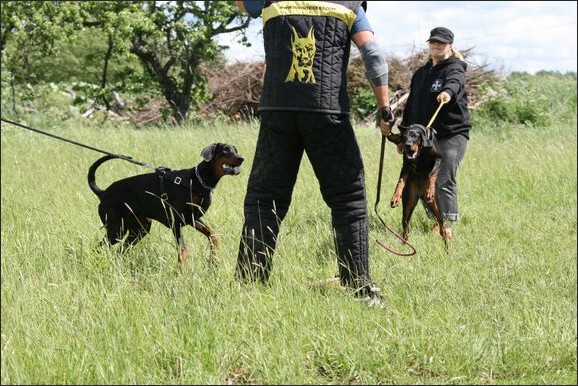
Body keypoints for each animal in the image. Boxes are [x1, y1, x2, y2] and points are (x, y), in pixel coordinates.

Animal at [87, 142, 243, 268]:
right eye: (225, 150)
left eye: (235, 150)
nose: (241, 158)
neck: (198, 182)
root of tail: (103, 192)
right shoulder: (176, 221)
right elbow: (183, 250)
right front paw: (180, 271)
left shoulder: (193, 219)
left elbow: (213, 235)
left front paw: (214, 260)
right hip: (116, 230)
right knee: (100, 248)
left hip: (139, 229)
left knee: (120, 251)